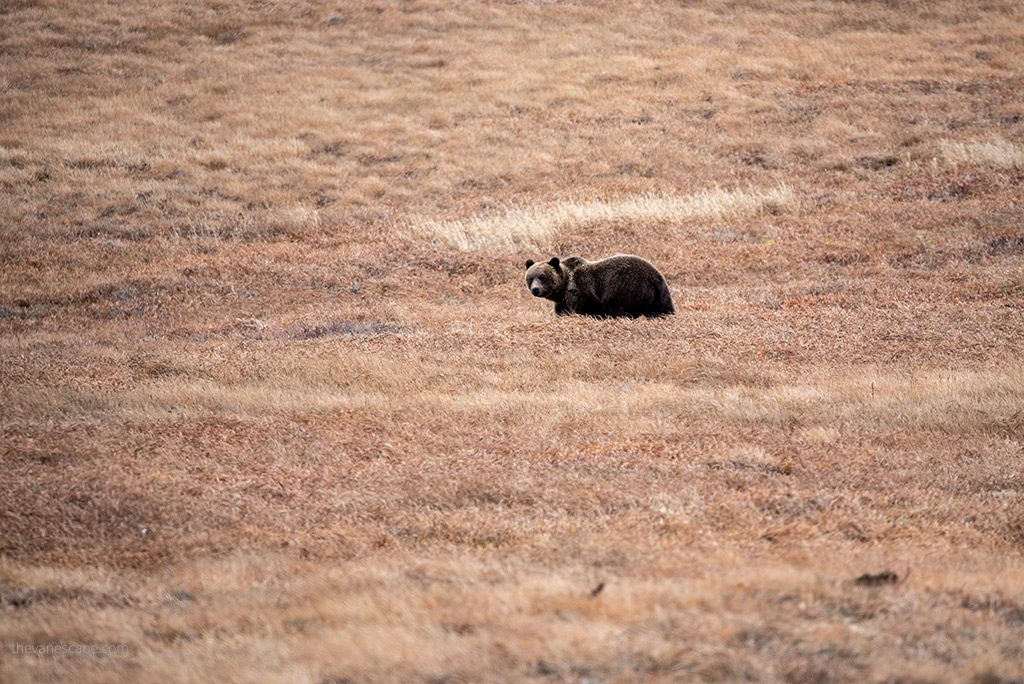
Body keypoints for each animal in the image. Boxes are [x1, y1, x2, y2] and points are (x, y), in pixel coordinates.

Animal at [524, 254, 675, 319]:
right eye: (530, 278)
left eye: (542, 277)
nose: (536, 289)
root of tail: (652, 277)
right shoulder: (562, 302)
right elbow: (562, 312)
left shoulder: (581, 293)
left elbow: (583, 310)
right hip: (660, 293)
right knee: (664, 309)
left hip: (623, 287)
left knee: (616, 308)